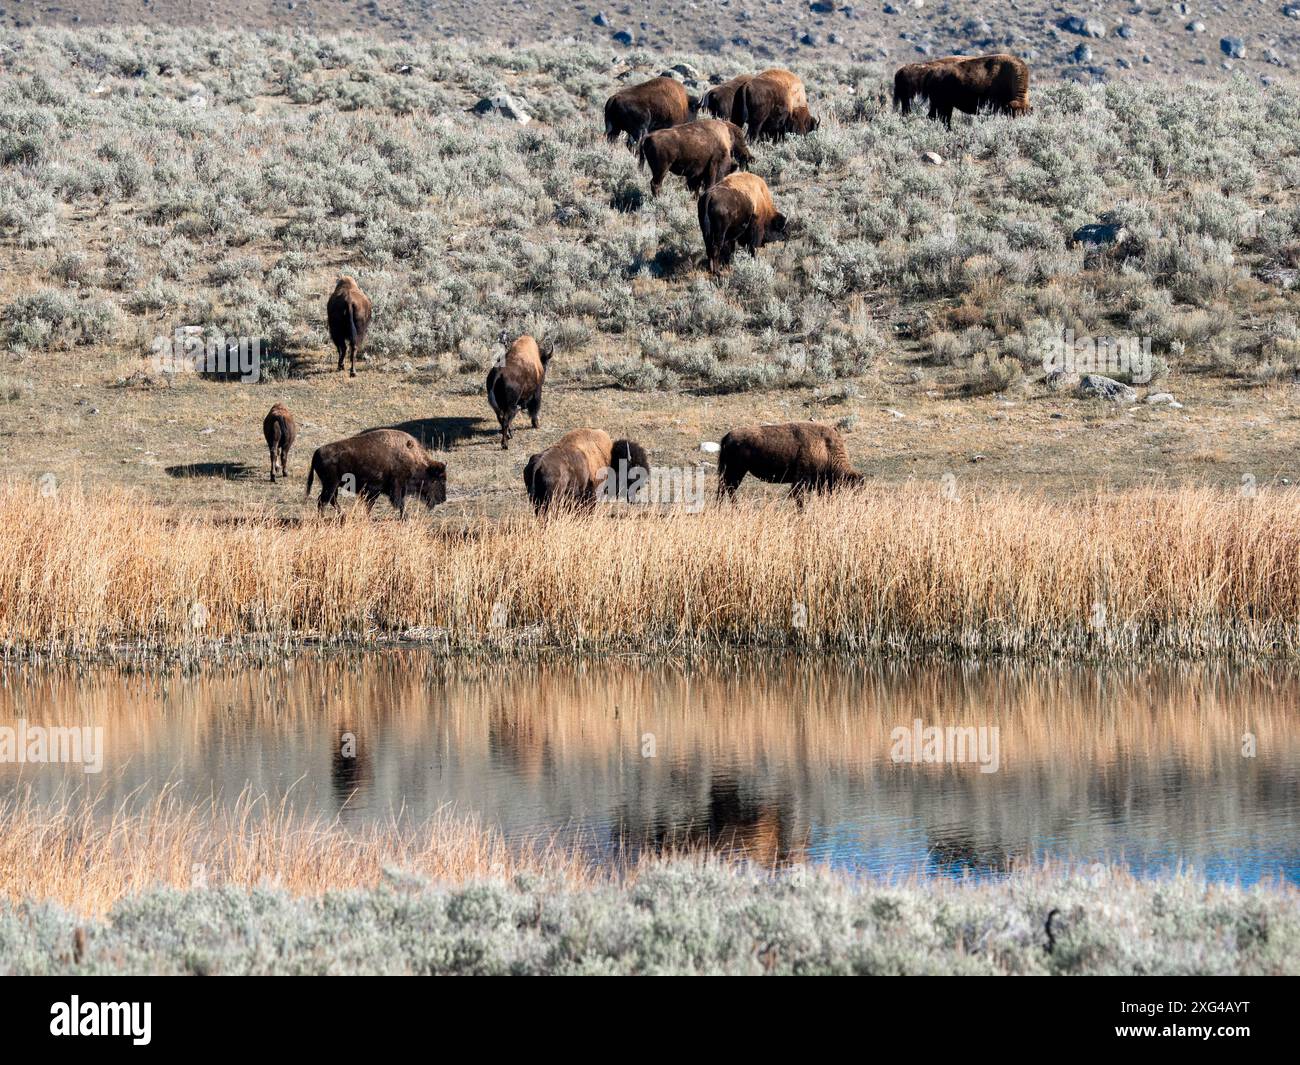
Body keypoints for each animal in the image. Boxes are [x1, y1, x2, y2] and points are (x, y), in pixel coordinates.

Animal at [304, 431, 447, 517]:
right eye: (438, 479)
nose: (443, 499)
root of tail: (317, 451)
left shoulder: (375, 491)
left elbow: (371, 505)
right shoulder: (396, 487)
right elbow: (399, 503)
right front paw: (405, 517)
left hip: (333, 485)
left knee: (330, 500)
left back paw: (342, 515)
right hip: (331, 484)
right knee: (323, 501)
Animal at [717, 423, 857, 507]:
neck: (825, 448)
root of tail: (727, 436)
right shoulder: (801, 482)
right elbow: (799, 500)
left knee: (725, 488)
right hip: (737, 471)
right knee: (728, 488)